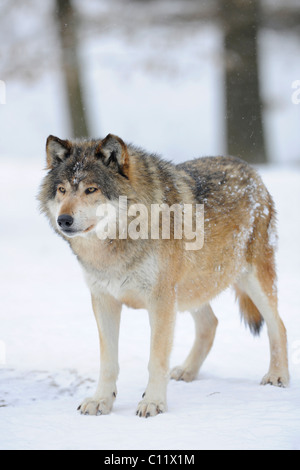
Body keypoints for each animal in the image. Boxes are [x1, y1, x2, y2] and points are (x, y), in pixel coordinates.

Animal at [38, 134, 290, 416]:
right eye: (62, 190)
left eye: (91, 190)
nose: (64, 220)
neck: (115, 247)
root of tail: (248, 168)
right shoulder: (104, 300)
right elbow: (108, 362)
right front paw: (101, 400)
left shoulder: (160, 302)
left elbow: (156, 359)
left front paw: (153, 402)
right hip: (189, 291)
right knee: (210, 323)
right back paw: (187, 371)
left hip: (251, 281)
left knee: (278, 325)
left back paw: (277, 376)